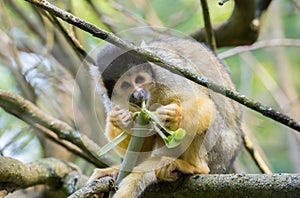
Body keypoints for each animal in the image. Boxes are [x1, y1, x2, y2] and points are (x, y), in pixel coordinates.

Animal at [88, 36, 241, 196]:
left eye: (139, 79)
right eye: (125, 86)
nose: (138, 94)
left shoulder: (165, 74)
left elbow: (202, 101)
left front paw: (176, 116)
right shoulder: (111, 99)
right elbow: (141, 145)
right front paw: (119, 120)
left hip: (217, 150)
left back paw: (196, 167)